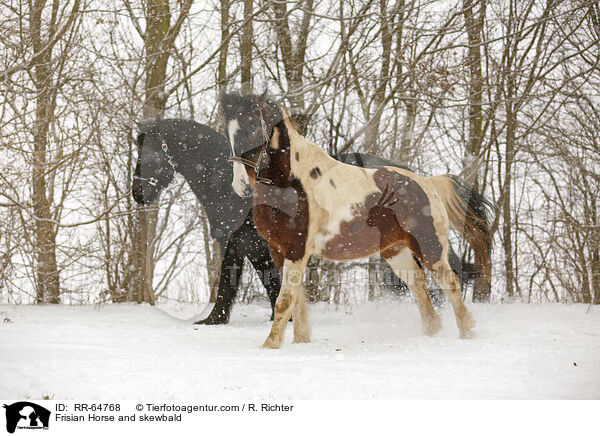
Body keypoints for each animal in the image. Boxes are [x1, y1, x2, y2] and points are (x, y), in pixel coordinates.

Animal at [131, 118, 474, 324]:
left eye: (148, 154)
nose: (137, 193)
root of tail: (418, 178)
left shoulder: (251, 244)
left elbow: (257, 282)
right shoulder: (246, 244)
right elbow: (245, 283)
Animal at [220, 92, 492, 348]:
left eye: (253, 129)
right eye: (228, 133)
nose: (241, 186)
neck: (293, 185)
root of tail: (429, 183)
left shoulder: (297, 249)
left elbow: (284, 300)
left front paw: (270, 345)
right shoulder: (279, 249)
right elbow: (296, 301)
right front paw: (300, 342)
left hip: (429, 246)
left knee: (450, 283)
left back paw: (467, 333)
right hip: (396, 250)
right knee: (419, 286)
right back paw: (431, 333)